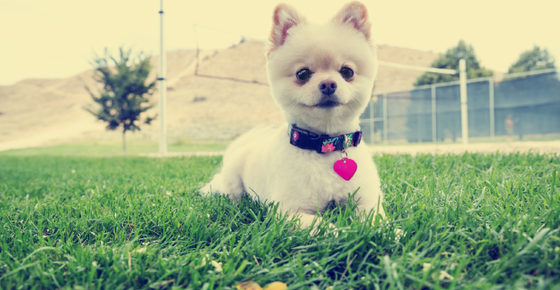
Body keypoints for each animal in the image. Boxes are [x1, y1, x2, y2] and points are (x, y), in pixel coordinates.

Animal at [200, 1, 384, 230]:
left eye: (347, 72)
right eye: (302, 74)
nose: (328, 84)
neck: (326, 146)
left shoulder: (367, 201)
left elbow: (378, 221)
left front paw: (394, 233)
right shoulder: (291, 212)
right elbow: (324, 227)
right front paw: (343, 232)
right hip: (232, 182)